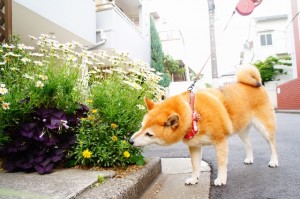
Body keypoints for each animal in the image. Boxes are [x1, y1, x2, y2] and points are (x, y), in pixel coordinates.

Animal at [129, 65, 278, 187]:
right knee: (249, 144)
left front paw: (221, 179)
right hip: (242, 130)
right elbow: (195, 166)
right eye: (141, 126)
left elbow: (221, 163)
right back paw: (249, 159)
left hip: (264, 128)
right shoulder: (194, 146)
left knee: (272, 145)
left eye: (149, 134)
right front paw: (194, 179)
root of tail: (258, 85)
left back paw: (274, 161)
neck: (193, 113)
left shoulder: (220, 141)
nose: (130, 141)